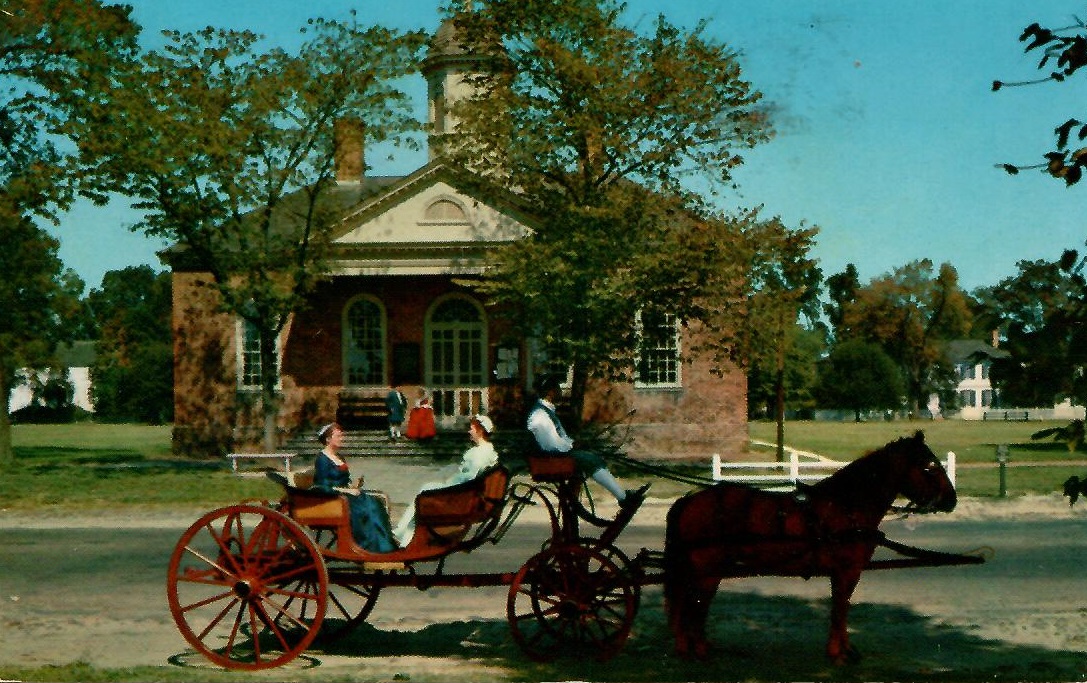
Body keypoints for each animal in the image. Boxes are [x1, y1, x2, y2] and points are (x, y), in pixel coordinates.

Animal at [665, 432, 956, 661]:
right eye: (930, 466)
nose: (951, 499)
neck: (845, 506)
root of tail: (690, 499)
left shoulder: (842, 573)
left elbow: (840, 608)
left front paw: (842, 649)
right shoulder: (847, 572)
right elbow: (840, 609)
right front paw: (839, 653)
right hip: (707, 571)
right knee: (694, 605)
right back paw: (697, 649)